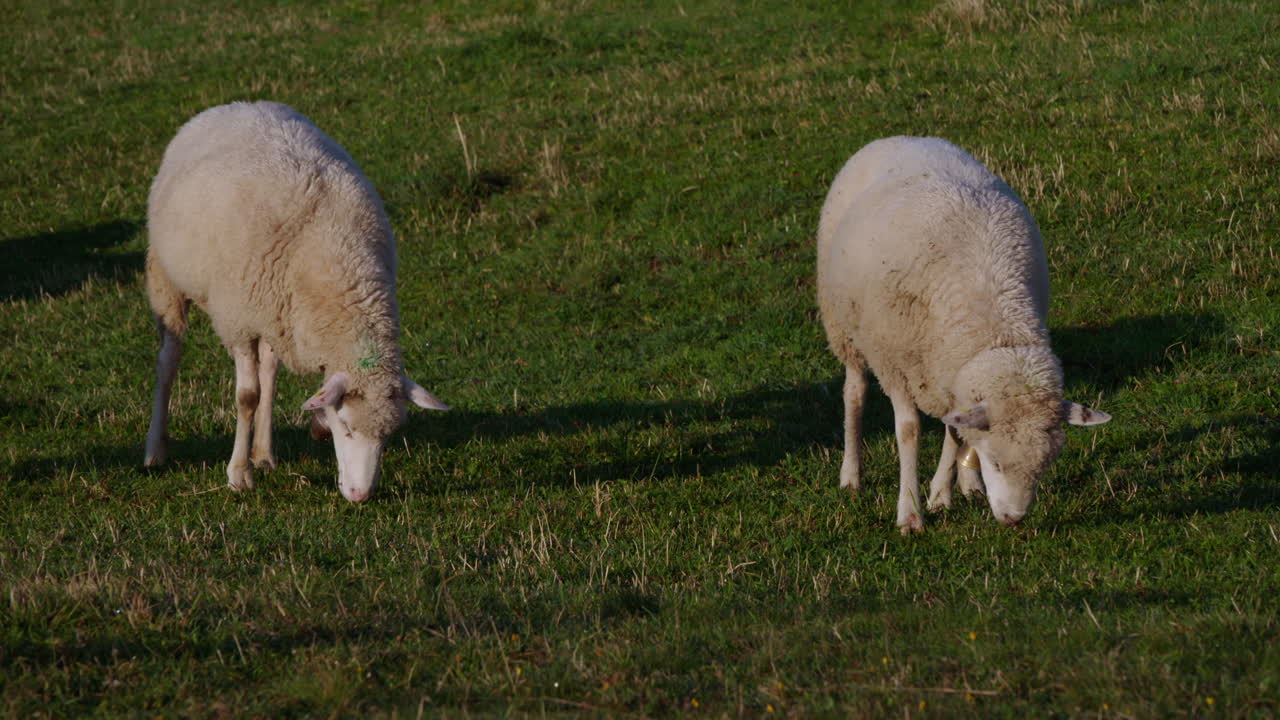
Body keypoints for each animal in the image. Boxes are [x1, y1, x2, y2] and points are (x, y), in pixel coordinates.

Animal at [142, 101, 449, 503]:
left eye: (388, 435)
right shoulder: (238, 321)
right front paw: (238, 475)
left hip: (275, 315)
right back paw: (155, 451)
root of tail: (238, 105)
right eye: (346, 427)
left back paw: (264, 453)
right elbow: (247, 397)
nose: (360, 495)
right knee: (168, 360)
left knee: (270, 372)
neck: (338, 259)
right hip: (167, 278)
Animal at [816, 136, 1110, 533]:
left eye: (1043, 467)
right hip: (846, 328)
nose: (1014, 519)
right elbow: (908, 431)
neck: (996, 326)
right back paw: (851, 474)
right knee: (855, 393)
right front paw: (910, 513)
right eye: (997, 462)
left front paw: (942, 494)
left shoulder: (952, 375)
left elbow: (956, 433)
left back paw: (968, 483)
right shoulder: (895, 363)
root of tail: (902, 137)